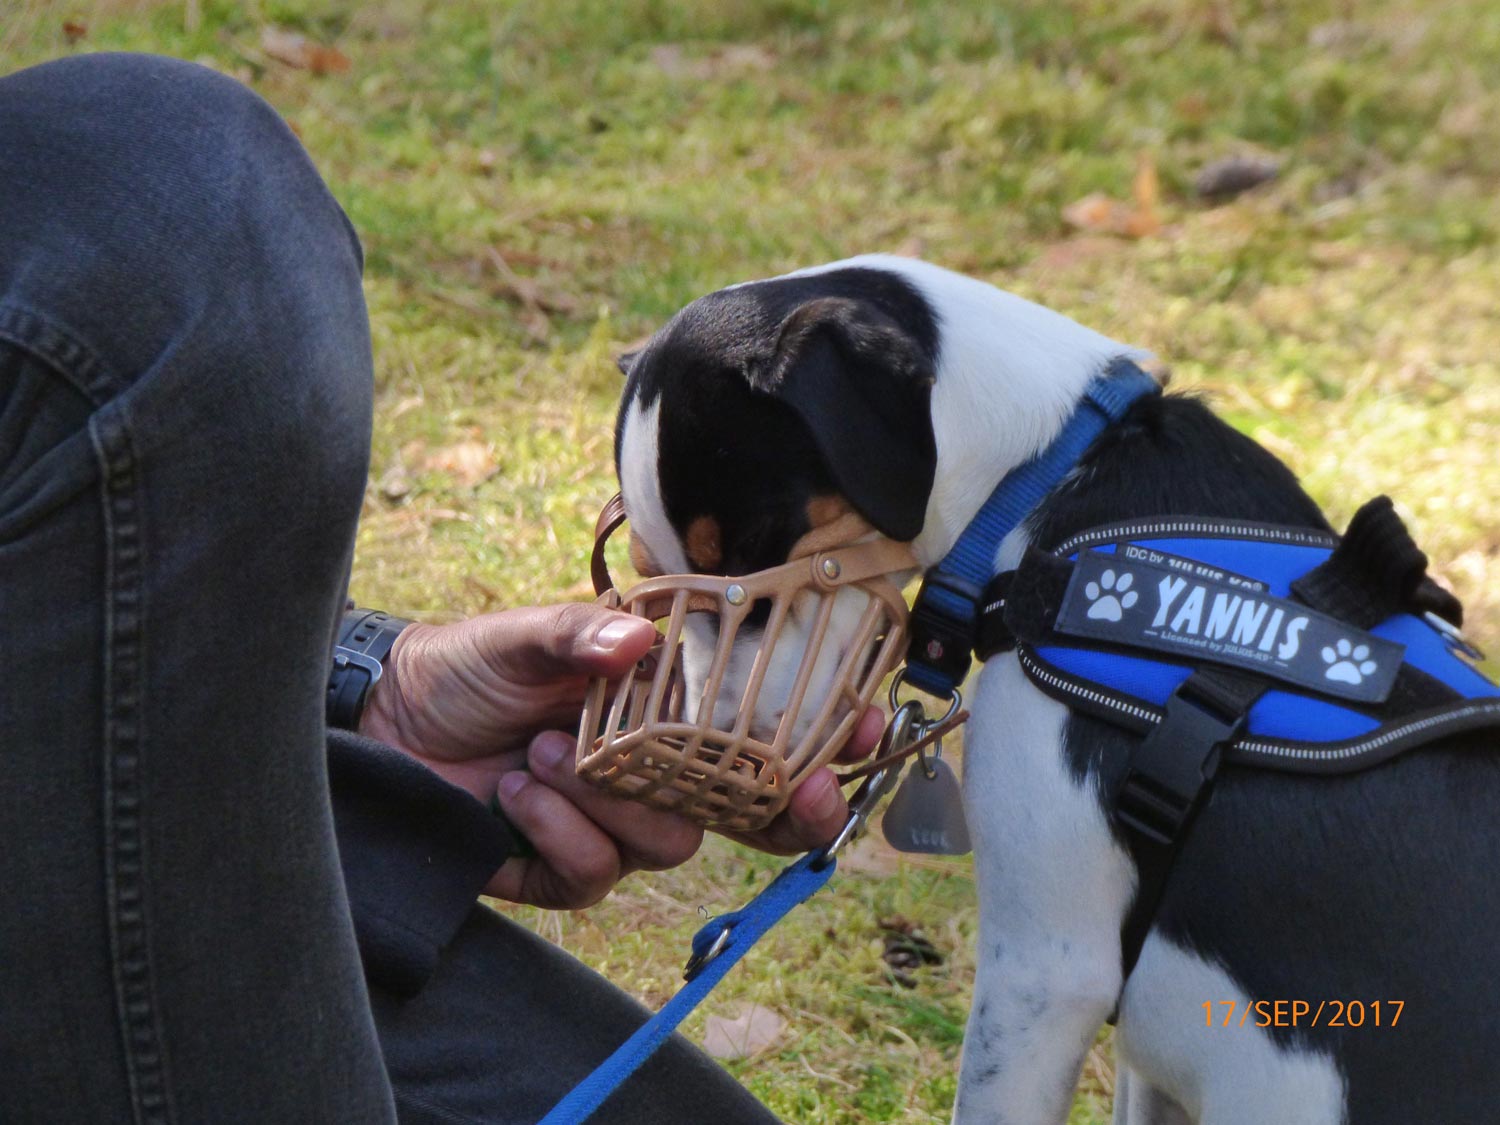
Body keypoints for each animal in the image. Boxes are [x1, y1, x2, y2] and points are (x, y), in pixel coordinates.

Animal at [606, 258, 1500, 1125]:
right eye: (650, 572)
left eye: (755, 549)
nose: (707, 763)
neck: (1047, 481)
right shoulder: (1144, 1057)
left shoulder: (1045, 974)